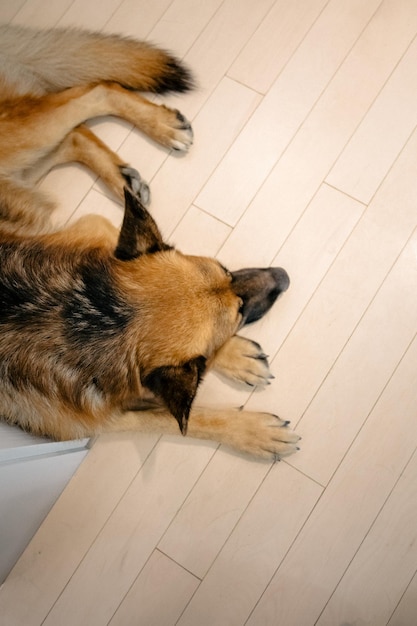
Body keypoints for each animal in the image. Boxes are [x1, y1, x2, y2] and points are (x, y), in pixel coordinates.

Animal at [0, 24, 300, 458]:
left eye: (226, 270)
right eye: (239, 312)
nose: (285, 276)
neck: (79, 314)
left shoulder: (96, 230)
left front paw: (235, 357)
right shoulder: (101, 421)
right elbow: (188, 419)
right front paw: (254, 429)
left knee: (91, 97)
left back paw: (147, 141)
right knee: (79, 117)